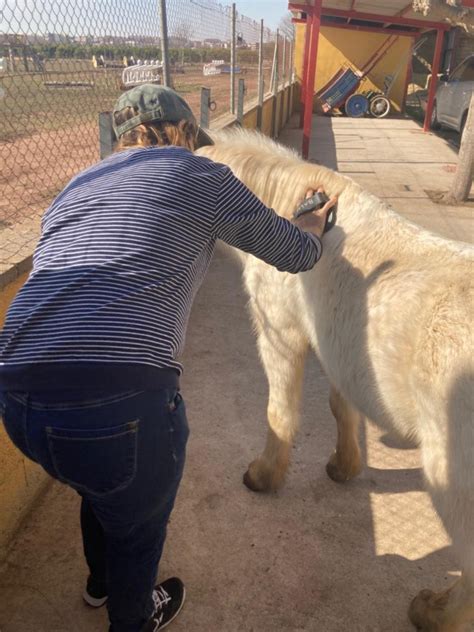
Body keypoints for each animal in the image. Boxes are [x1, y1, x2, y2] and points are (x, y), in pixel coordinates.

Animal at [197, 128, 474, 632]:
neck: (289, 212)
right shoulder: (339, 349)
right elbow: (342, 408)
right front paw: (344, 466)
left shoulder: (281, 334)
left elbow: (280, 413)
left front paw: (264, 476)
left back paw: (432, 613)